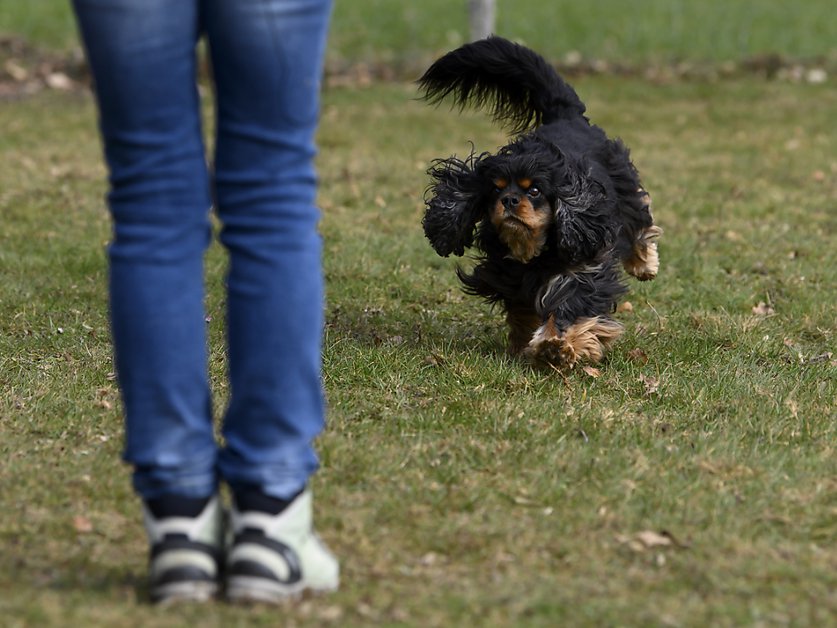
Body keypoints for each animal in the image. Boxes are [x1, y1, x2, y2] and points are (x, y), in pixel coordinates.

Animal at [418, 36, 660, 370]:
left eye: (534, 191)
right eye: (495, 190)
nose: (509, 200)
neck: (533, 251)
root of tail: (567, 116)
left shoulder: (583, 267)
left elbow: (571, 309)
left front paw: (558, 348)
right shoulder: (507, 276)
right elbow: (522, 309)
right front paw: (527, 343)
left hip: (623, 185)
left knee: (639, 221)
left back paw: (644, 264)